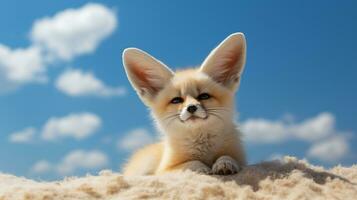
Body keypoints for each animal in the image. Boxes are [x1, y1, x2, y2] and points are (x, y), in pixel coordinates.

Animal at [121, 32, 246, 175]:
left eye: (204, 96)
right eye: (176, 100)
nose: (191, 108)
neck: (202, 149)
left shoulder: (241, 159)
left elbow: (227, 157)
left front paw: (224, 163)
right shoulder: (164, 170)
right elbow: (191, 163)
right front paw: (201, 168)